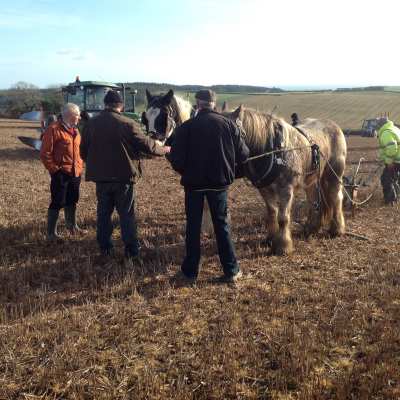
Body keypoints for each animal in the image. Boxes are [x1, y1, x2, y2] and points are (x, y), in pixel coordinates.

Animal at [225, 105, 346, 256]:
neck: (273, 150)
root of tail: (334, 125)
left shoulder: (286, 189)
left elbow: (283, 218)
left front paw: (283, 246)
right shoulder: (265, 189)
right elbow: (272, 213)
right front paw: (271, 238)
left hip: (334, 175)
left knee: (336, 198)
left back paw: (337, 229)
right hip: (311, 179)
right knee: (313, 201)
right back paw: (311, 228)